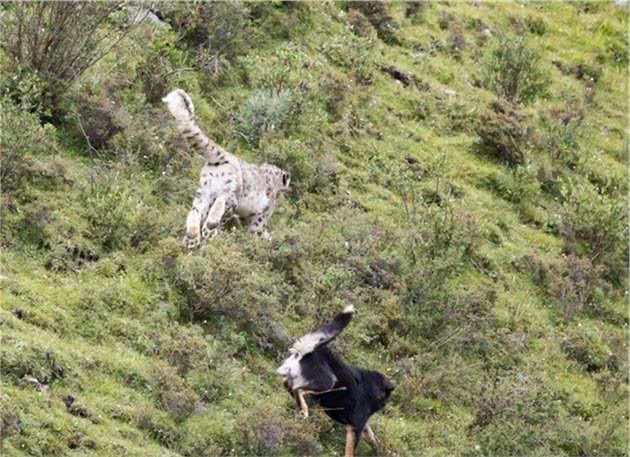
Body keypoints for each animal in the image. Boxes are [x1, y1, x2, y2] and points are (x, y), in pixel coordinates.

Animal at [278, 306, 396, 456]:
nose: (385, 404)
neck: (371, 388)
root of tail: (308, 351)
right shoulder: (355, 427)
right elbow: (351, 451)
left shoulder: (362, 425)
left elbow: (373, 438)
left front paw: (383, 450)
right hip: (327, 383)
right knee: (298, 389)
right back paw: (304, 409)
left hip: (293, 376)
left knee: (289, 386)